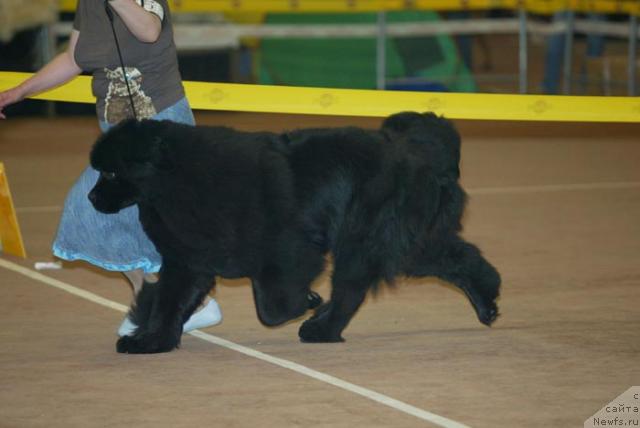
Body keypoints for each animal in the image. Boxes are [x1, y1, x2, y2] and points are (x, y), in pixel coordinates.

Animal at [90, 111, 500, 354]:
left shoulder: (288, 250)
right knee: (457, 258)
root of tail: (415, 150)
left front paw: (307, 301)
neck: (178, 179)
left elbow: (272, 307)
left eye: (111, 172)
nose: (93, 197)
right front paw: (152, 340)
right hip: (403, 241)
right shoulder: (189, 259)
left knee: (351, 289)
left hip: (365, 239)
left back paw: (322, 328)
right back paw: (487, 301)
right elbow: (169, 301)